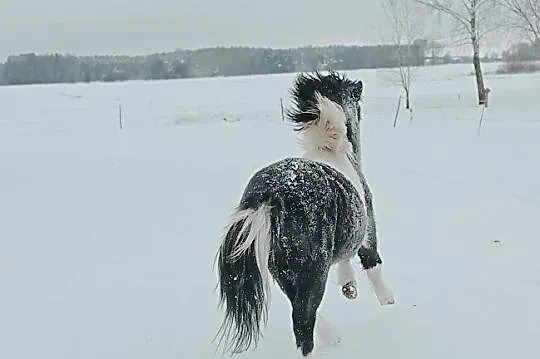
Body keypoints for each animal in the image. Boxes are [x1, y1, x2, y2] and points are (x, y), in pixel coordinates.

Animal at [213, 70, 394, 358]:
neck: (331, 150)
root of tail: (269, 195)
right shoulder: (366, 232)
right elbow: (373, 264)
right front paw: (387, 301)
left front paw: (349, 288)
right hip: (313, 270)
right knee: (303, 320)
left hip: (283, 270)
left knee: (301, 309)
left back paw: (332, 335)